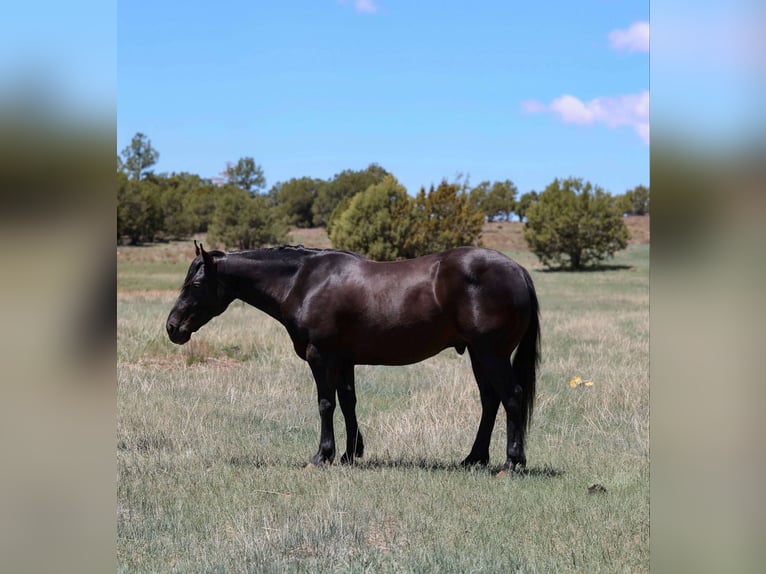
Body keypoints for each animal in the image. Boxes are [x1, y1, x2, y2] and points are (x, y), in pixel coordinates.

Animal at [166, 241, 540, 473]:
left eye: (194, 285)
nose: (172, 327)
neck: (304, 281)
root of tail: (519, 271)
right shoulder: (344, 360)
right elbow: (348, 402)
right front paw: (350, 453)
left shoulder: (321, 356)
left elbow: (325, 404)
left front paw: (323, 455)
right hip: (479, 354)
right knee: (490, 400)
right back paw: (474, 458)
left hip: (491, 354)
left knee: (512, 397)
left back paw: (511, 462)